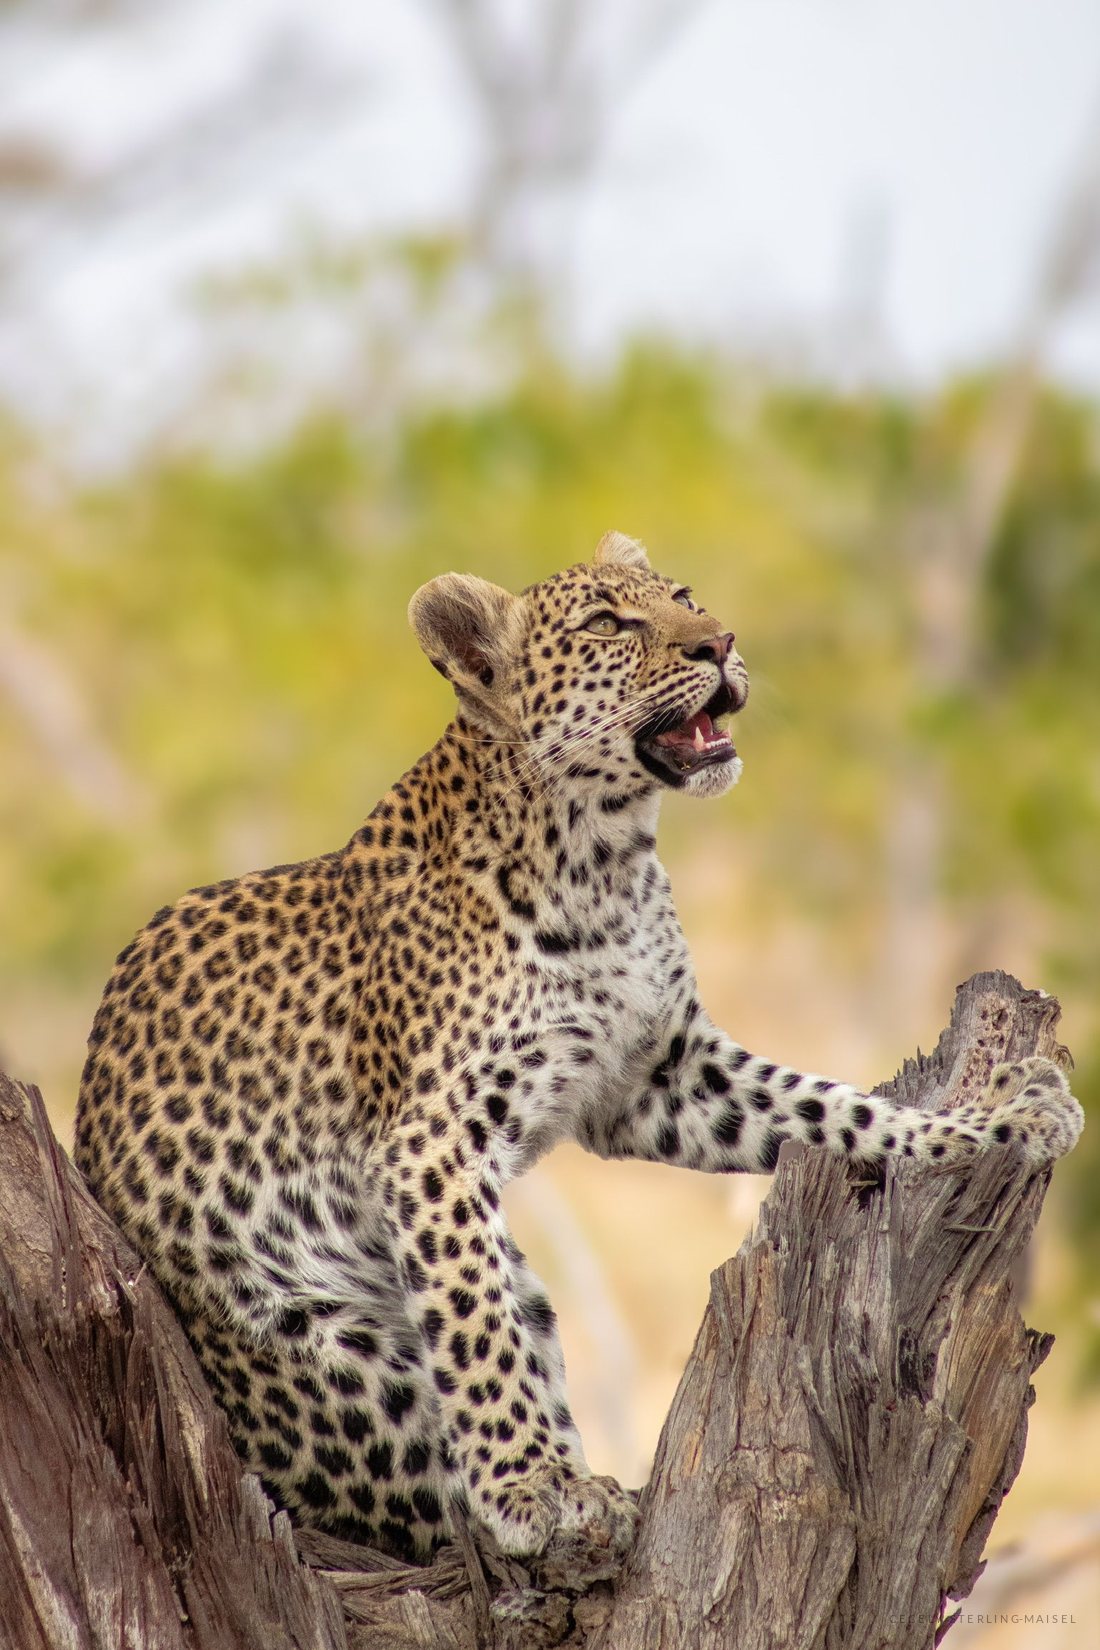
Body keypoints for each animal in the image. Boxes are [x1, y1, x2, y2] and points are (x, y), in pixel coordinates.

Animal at [73, 530, 1084, 1565]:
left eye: (684, 596)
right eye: (608, 624)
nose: (720, 642)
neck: (606, 859)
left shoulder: (661, 1077)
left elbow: (834, 1106)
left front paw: (998, 1116)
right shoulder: (430, 1143)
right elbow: (473, 1323)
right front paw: (530, 1487)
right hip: (328, 1357)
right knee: (423, 1480)